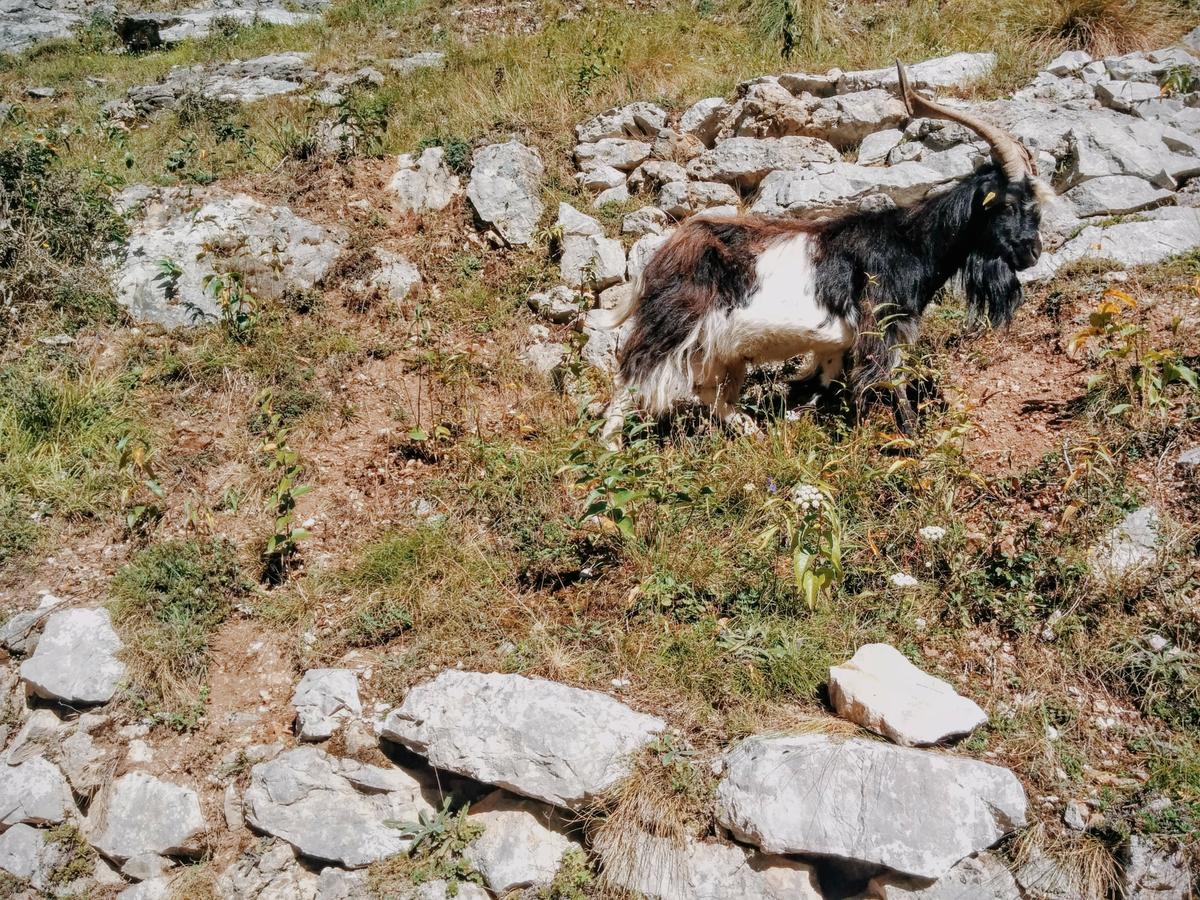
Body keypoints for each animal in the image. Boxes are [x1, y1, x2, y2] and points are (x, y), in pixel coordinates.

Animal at [600, 62, 1050, 448]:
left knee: (708, 391)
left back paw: (750, 430)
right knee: (629, 381)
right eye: (1009, 203)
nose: (1032, 252)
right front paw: (910, 442)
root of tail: (657, 261)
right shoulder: (878, 327)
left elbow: (823, 384)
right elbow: (892, 386)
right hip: (671, 328)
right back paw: (610, 449)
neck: (909, 245)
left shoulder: (835, 345)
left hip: (720, 351)